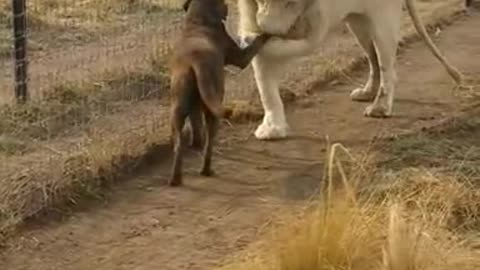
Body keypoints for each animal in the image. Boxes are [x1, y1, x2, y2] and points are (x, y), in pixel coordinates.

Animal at [168, 0, 270, 186]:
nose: (227, 7)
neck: (197, 20)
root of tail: (194, 62)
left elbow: (195, 124)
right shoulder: (241, 57)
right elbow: (257, 42)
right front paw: (267, 33)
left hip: (178, 108)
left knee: (180, 144)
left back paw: (176, 178)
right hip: (213, 106)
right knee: (209, 143)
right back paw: (206, 170)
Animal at [238, 0, 464, 140]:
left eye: (290, 2)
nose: (267, 29)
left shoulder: (316, 25)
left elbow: (289, 45)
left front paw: (256, 41)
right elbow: (265, 87)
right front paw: (272, 129)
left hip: (382, 19)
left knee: (387, 65)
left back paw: (380, 108)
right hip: (358, 24)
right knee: (373, 58)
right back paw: (367, 93)